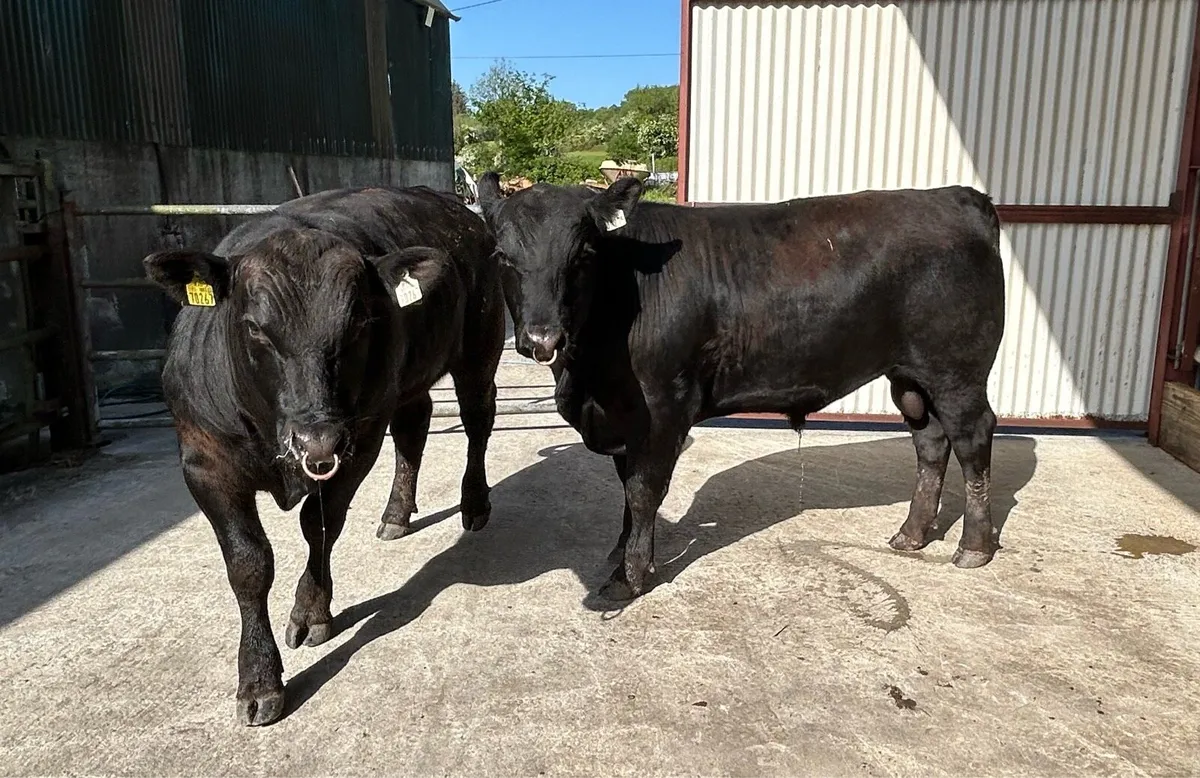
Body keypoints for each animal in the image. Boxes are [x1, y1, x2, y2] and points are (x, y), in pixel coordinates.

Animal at [143, 186, 505, 726]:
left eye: (359, 322)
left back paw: (474, 503)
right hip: (408, 381)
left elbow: (319, 526)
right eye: (254, 328)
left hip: (480, 348)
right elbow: (248, 564)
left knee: (478, 419)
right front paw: (258, 679)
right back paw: (397, 513)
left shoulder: (358, 442)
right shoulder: (204, 463)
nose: (316, 440)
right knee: (414, 426)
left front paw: (311, 610)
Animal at [477, 172, 1006, 603]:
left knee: (973, 440)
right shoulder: (622, 417)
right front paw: (621, 552)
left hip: (956, 372)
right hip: (910, 376)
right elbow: (626, 491)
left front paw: (629, 577)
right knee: (930, 443)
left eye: (584, 254)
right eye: (502, 255)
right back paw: (912, 533)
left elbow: (642, 492)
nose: (542, 338)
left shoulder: (662, 407)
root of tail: (957, 196)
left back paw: (974, 546)